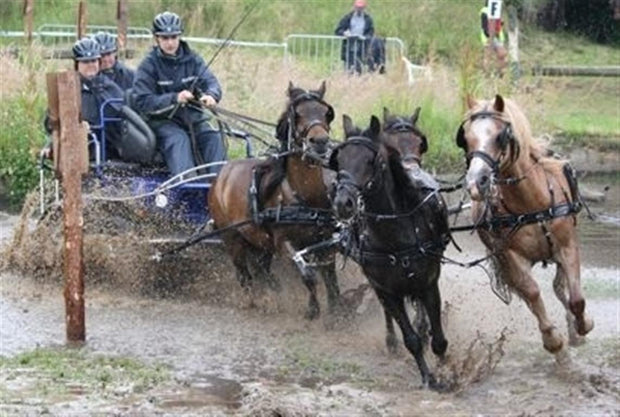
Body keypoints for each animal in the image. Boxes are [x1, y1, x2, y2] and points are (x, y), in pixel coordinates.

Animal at [208, 83, 344, 320]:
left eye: (326, 113)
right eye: (297, 114)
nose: (319, 141)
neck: (304, 198)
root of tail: (220, 174)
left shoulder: (326, 239)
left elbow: (329, 276)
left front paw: (338, 312)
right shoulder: (284, 243)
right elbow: (308, 275)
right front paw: (312, 310)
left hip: (259, 242)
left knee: (263, 269)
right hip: (232, 238)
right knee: (244, 275)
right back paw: (255, 302)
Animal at [330, 114, 450, 390]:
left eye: (370, 160)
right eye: (339, 160)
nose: (343, 203)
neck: (397, 233)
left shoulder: (428, 283)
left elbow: (439, 339)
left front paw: (446, 370)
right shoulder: (386, 289)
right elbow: (411, 339)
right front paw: (428, 377)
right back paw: (391, 340)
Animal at [456, 94, 596, 354]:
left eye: (500, 136)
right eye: (466, 138)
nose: (476, 183)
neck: (530, 204)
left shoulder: (568, 246)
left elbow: (576, 299)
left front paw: (583, 325)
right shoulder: (510, 256)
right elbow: (531, 293)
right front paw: (552, 339)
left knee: (560, 288)